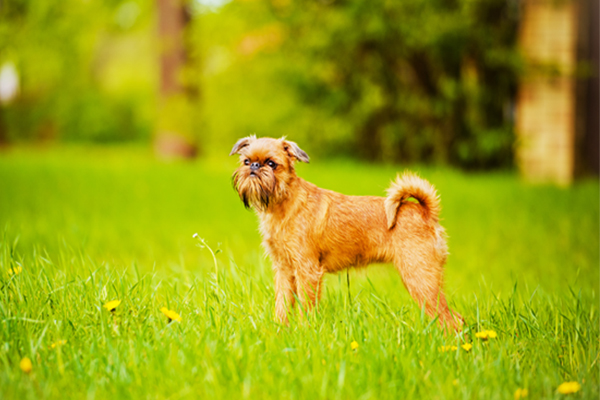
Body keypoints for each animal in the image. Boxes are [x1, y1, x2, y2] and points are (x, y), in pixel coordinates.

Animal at [232, 136, 462, 330]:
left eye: (272, 164)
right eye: (246, 161)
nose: (254, 166)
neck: (283, 203)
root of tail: (426, 212)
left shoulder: (307, 270)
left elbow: (306, 305)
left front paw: (305, 331)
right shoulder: (284, 270)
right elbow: (282, 304)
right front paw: (281, 329)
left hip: (419, 276)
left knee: (452, 319)